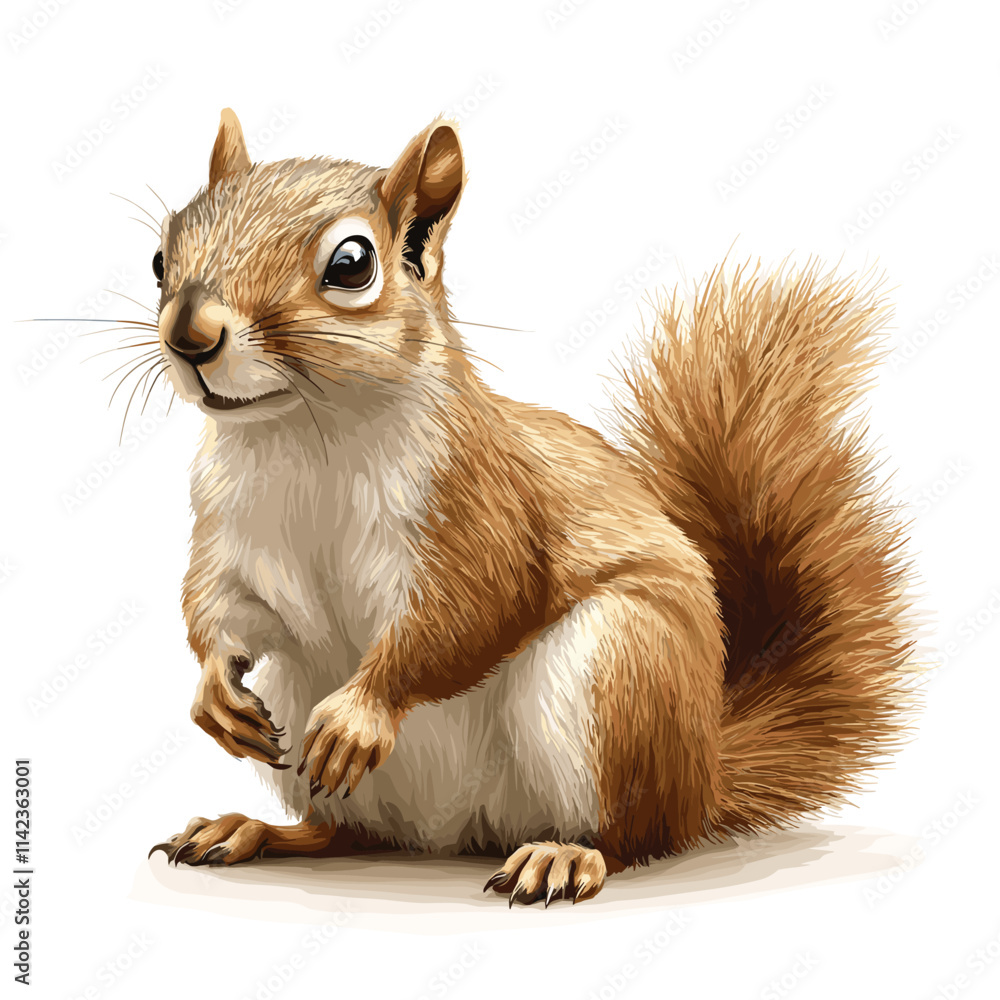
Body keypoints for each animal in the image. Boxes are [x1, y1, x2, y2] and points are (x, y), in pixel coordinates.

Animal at [145, 108, 916, 906]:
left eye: (352, 264)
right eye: (160, 256)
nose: (190, 335)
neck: (302, 434)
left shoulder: (483, 506)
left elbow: (473, 609)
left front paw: (361, 714)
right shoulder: (227, 527)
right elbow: (215, 603)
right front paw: (213, 693)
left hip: (615, 676)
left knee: (631, 837)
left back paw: (565, 856)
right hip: (310, 707)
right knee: (348, 833)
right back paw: (252, 831)